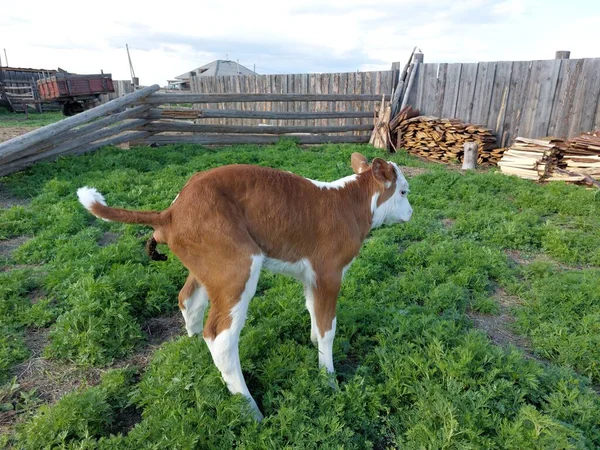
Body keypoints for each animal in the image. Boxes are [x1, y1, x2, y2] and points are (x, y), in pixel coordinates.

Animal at [76, 153, 412, 420]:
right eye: (404, 191)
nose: (411, 213)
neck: (350, 204)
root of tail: (171, 212)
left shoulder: (311, 276)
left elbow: (314, 314)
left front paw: (313, 344)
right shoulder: (329, 272)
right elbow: (329, 327)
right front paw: (328, 379)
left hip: (208, 267)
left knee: (188, 301)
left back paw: (193, 347)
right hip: (236, 267)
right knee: (221, 337)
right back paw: (250, 410)